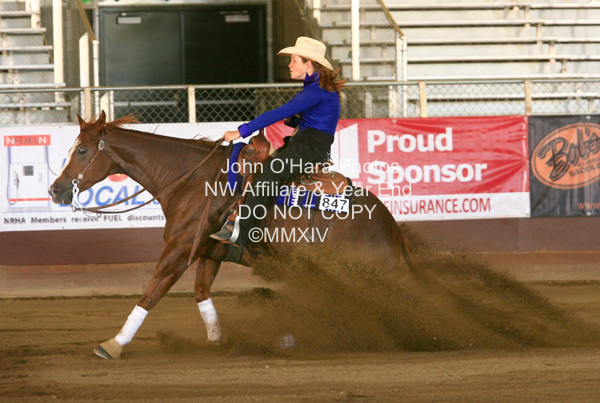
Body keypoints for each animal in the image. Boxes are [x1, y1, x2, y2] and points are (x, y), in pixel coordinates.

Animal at [49, 111, 418, 359]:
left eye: (82, 151)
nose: (55, 189)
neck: (191, 180)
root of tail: (390, 228)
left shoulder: (179, 250)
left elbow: (151, 294)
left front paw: (114, 344)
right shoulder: (209, 251)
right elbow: (201, 293)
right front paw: (219, 341)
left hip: (361, 274)